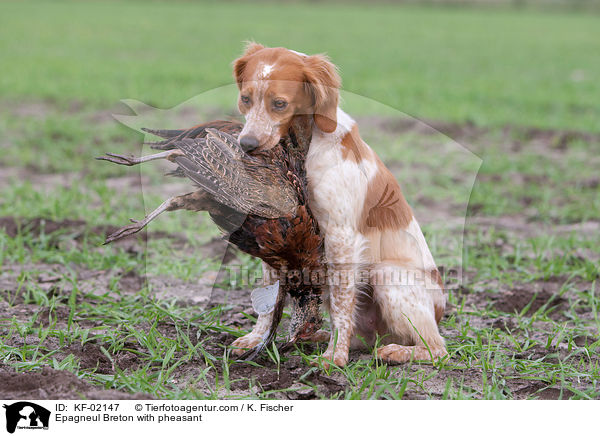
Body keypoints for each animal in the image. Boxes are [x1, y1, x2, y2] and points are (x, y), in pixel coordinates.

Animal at [232, 42, 448, 366]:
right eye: (245, 99)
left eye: (280, 104)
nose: (247, 145)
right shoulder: (276, 236)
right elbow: (270, 298)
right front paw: (257, 338)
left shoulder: (341, 236)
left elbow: (340, 306)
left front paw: (335, 356)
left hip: (387, 274)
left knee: (438, 348)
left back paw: (393, 352)